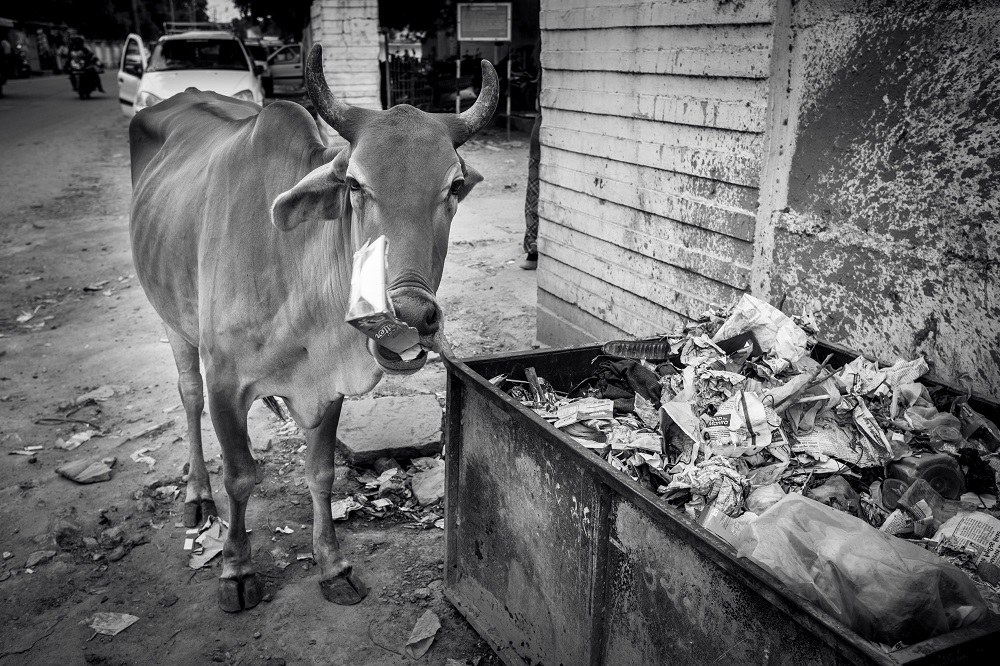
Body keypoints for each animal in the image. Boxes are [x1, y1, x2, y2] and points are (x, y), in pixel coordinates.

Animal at [129, 44, 496, 608]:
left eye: (454, 185)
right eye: (354, 184)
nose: (411, 314)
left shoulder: (327, 386)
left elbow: (320, 473)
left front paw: (332, 565)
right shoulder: (225, 383)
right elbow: (240, 476)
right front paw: (235, 568)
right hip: (173, 322)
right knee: (188, 397)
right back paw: (196, 496)